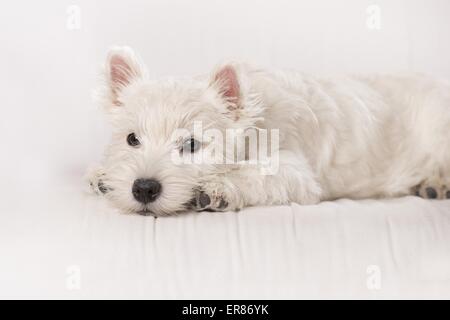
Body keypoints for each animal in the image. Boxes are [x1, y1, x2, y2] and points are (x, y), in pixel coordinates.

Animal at [87, 46, 450, 216]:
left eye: (191, 144)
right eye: (132, 139)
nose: (144, 189)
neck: (254, 125)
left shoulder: (297, 174)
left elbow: (255, 174)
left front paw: (217, 189)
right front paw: (102, 176)